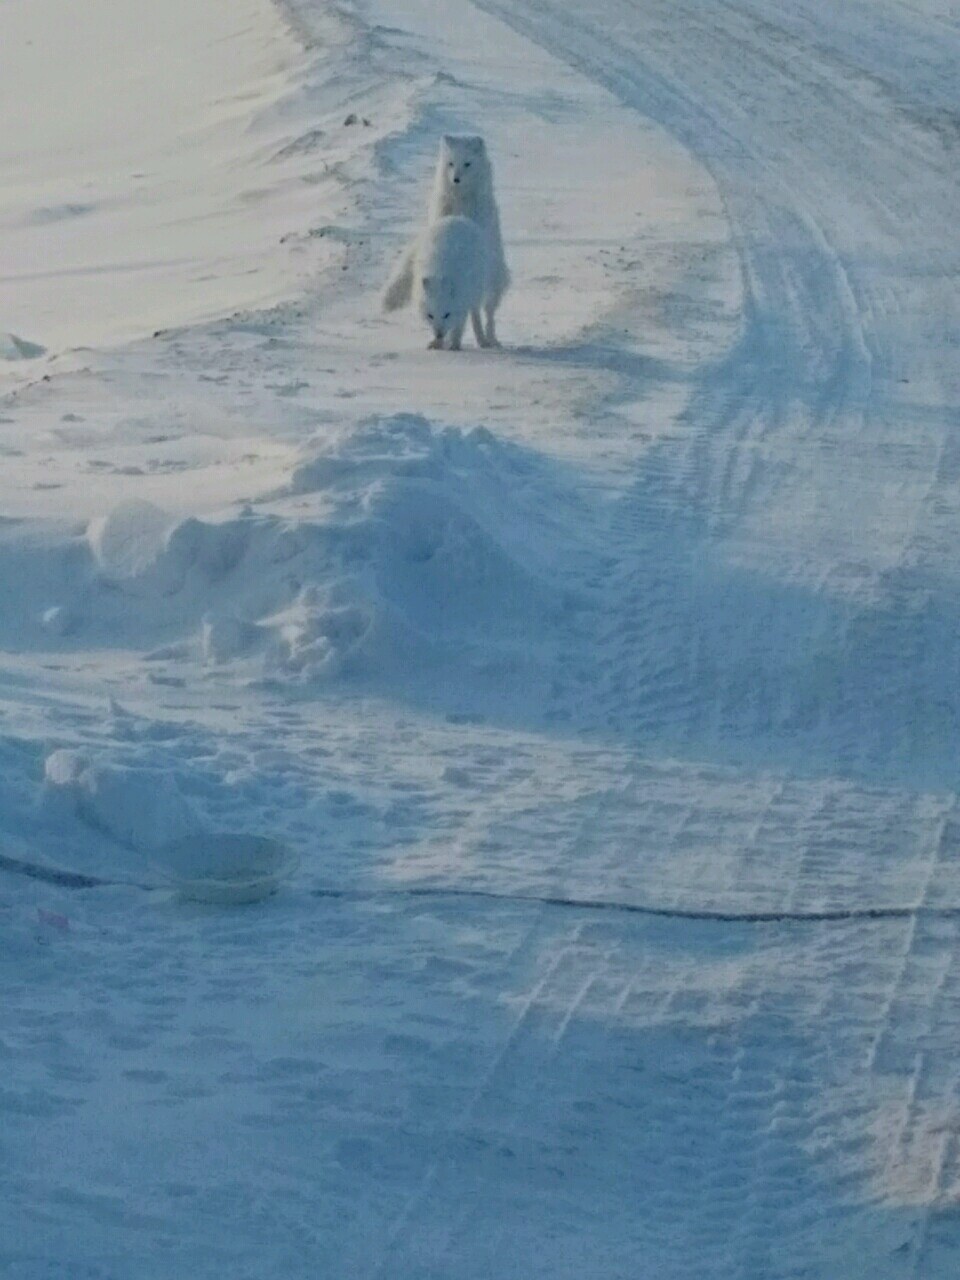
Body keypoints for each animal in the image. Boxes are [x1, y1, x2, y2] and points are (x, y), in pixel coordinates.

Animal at [384, 133, 512, 350]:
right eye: (451, 164)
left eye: (467, 164)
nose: (456, 180)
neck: (461, 205)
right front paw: (437, 340)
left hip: (492, 283)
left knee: (485, 315)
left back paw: (487, 339)